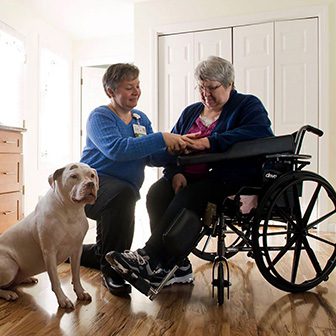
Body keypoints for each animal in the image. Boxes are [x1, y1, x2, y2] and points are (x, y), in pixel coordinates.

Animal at [0, 163, 99, 310]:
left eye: (92, 175)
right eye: (73, 176)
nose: (90, 184)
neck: (71, 211)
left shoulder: (77, 250)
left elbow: (76, 274)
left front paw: (80, 292)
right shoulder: (49, 253)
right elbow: (56, 280)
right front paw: (63, 299)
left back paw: (27, 278)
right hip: (10, 266)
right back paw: (8, 294)